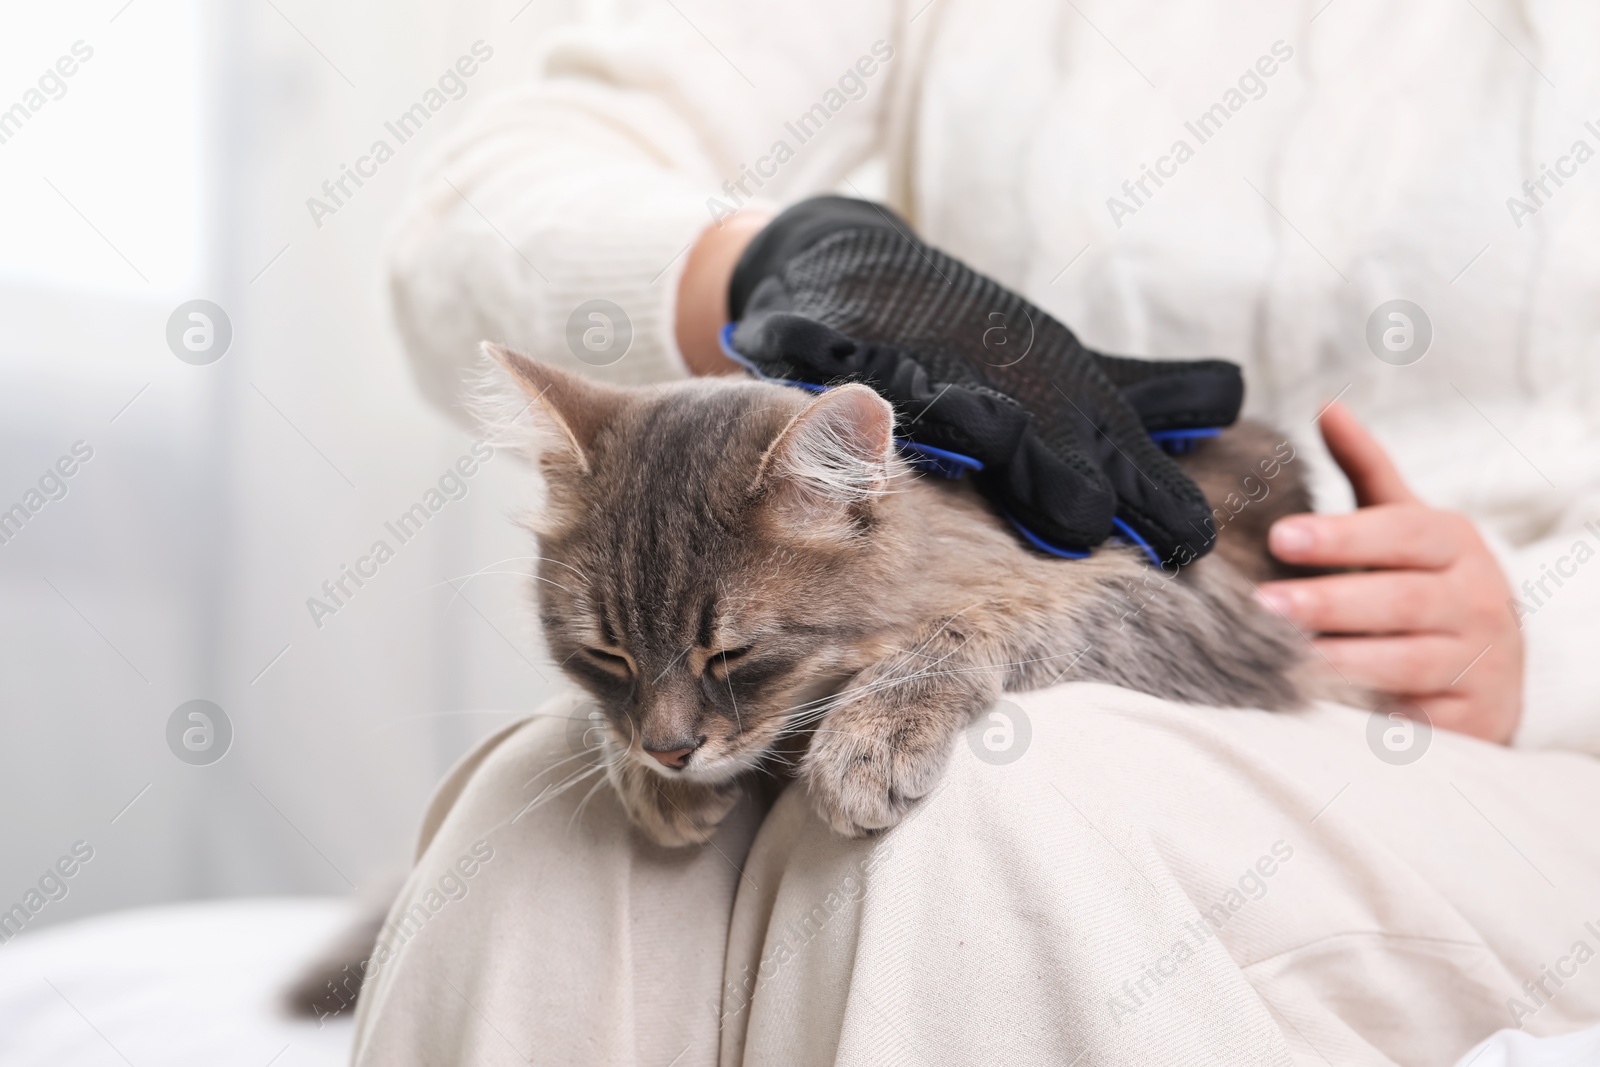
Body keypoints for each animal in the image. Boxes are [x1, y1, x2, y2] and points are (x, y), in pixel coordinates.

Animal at [480, 347, 1331, 844]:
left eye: (732, 654)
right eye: (605, 656)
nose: (668, 754)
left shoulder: (1197, 613)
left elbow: (977, 619)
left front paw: (873, 729)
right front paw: (643, 777)